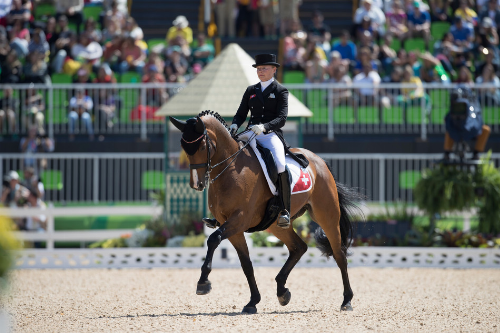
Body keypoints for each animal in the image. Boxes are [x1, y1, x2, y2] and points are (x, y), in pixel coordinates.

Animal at [170, 111, 362, 314]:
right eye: (184, 147)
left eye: (202, 146)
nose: (196, 184)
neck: (230, 169)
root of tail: (319, 161)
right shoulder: (231, 226)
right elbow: (246, 264)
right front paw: (253, 301)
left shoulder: (239, 219)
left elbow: (213, 239)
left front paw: (203, 283)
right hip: (276, 225)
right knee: (299, 247)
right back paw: (282, 291)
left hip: (326, 216)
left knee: (339, 254)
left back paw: (347, 301)